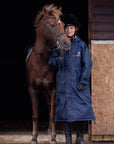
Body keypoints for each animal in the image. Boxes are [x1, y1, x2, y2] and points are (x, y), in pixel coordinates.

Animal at [26, 4, 71, 144]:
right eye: (52, 25)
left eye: (63, 24)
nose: (67, 43)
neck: (41, 61)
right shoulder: (33, 90)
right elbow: (35, 115)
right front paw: (34, 138)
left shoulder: (53, 90)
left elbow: (52, 114)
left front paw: (53, 138)